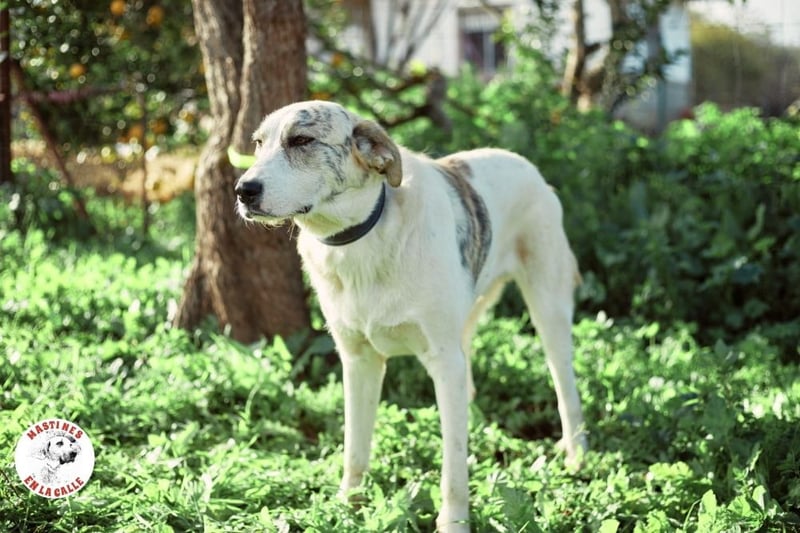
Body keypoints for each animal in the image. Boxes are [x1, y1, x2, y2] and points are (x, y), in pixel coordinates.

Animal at [234, 100, 587, 532]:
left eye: (301, 140)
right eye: (258, 144)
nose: (243, 190)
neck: (361, 240)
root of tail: (525, 164)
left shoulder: (442, 360)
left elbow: (453, 468)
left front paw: (454, 523)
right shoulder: (359, 361)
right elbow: (355, 447)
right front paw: (348, 505)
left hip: (547, 308)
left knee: (565, 387)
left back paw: (576, 453)